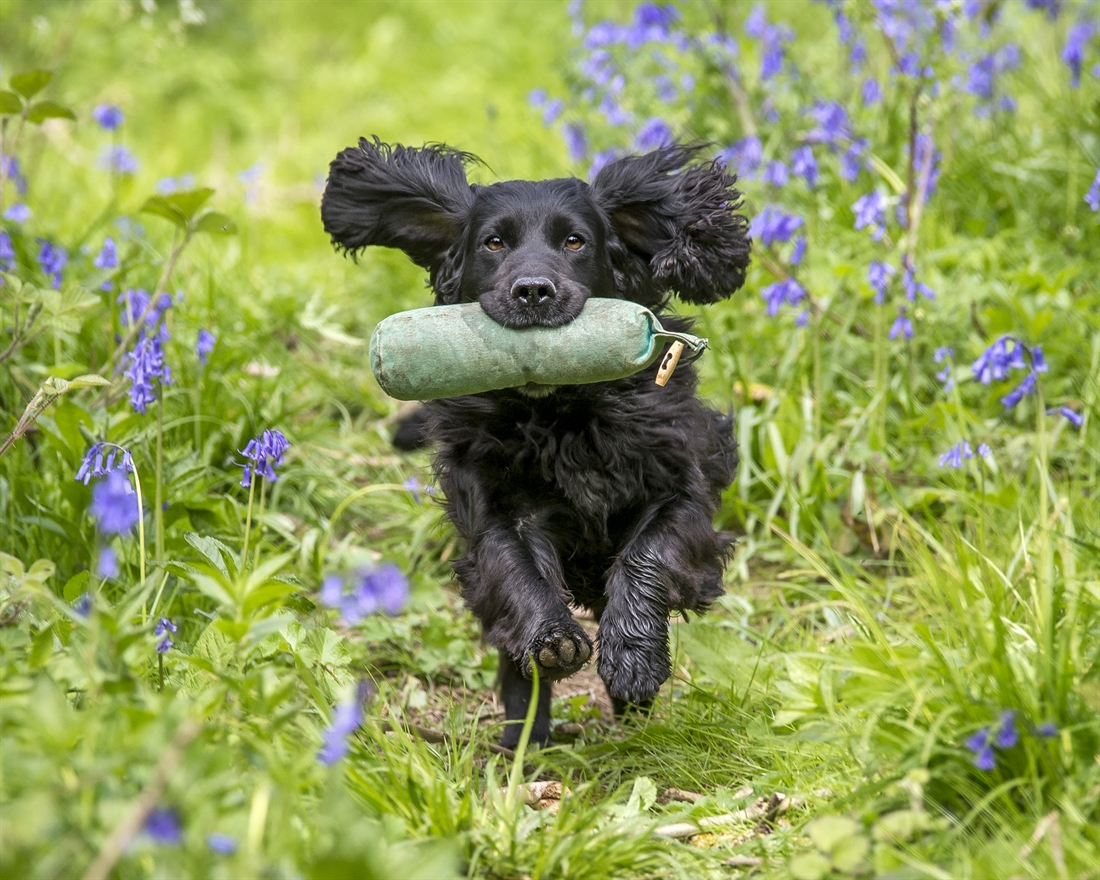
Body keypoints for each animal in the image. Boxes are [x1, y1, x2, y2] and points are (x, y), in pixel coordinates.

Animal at [319, 135, 748, 743]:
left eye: (575, 240)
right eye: (494, 243)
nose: (533, 291)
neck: (561, 415)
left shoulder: (681, 486)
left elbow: (650, 553)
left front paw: (633, 658)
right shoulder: (498, 507)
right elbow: (517, 572)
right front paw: (552, 641)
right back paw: (525, 734)